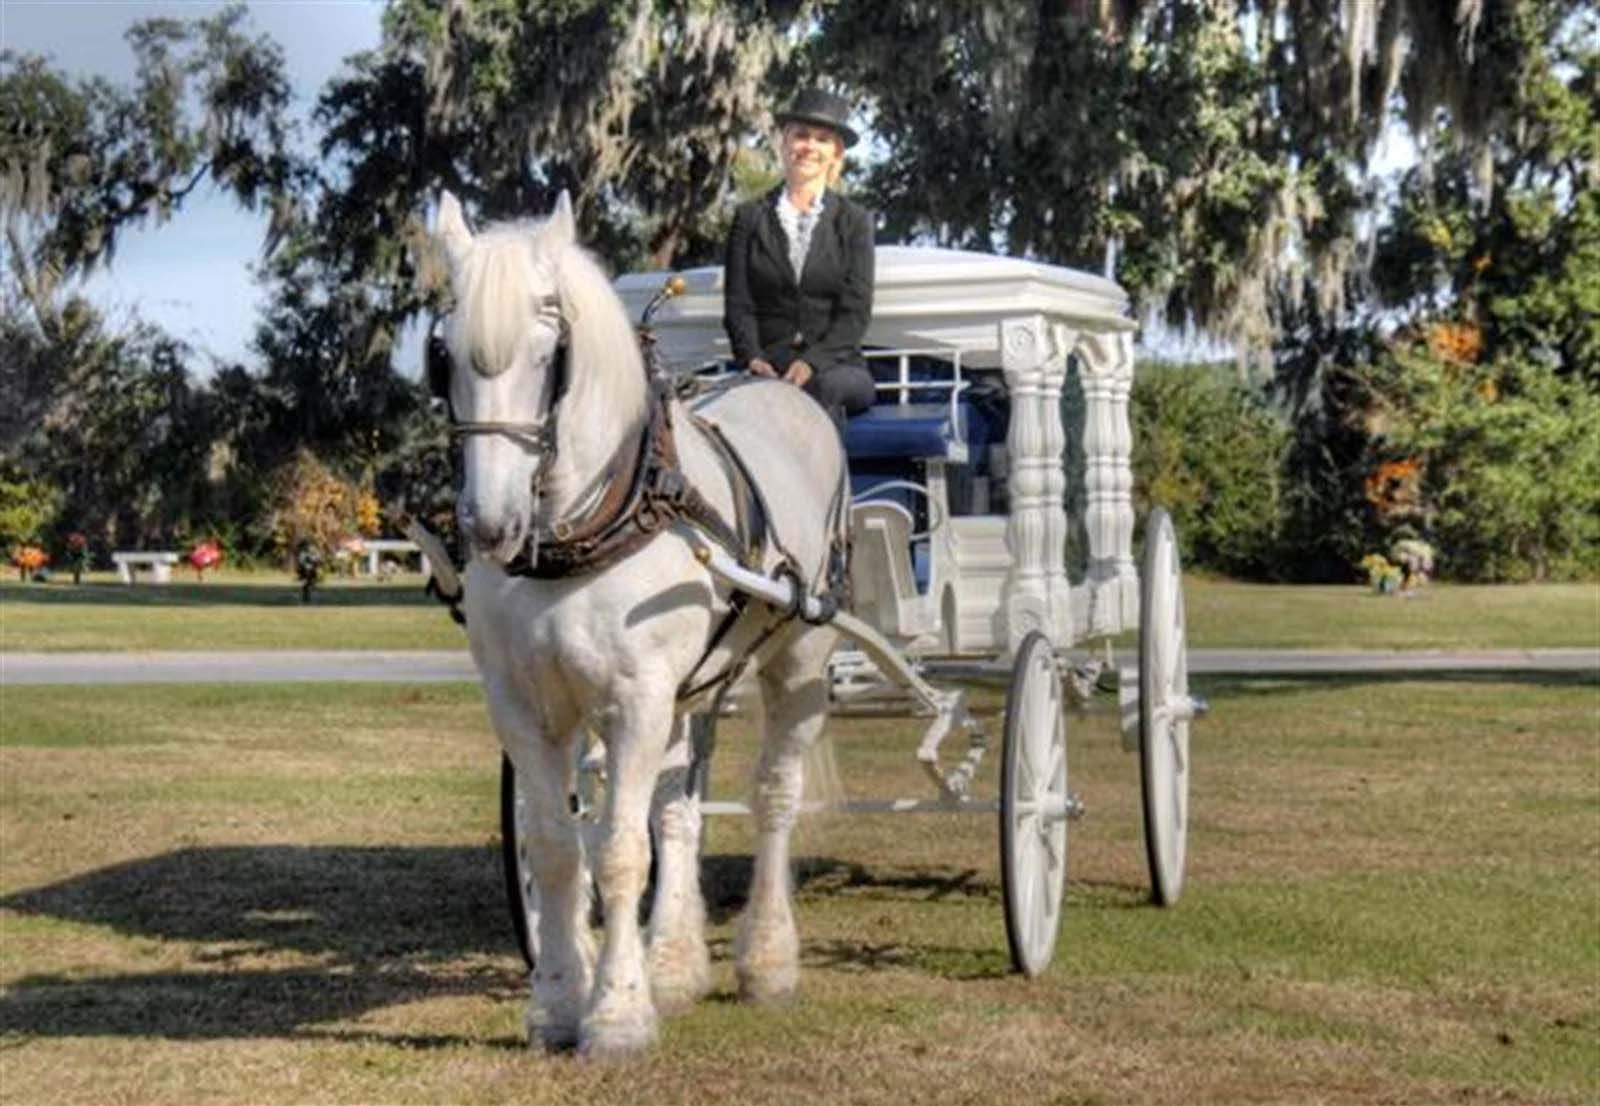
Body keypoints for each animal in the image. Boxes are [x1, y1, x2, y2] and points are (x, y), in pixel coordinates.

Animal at [430, 191, 848, 1056]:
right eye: (442, 355)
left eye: (549, 351)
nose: (489, 525)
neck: (584, 527)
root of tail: (783, 387)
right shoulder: (522, 706)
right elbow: (560, 849)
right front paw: (559, 1000)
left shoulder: (636, 699)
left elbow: (620, 851)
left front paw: (617, 1012)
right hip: (695, 685)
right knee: (680, 810)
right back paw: (678, 965)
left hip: (798, 662)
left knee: (773, 798)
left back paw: (767, 960)